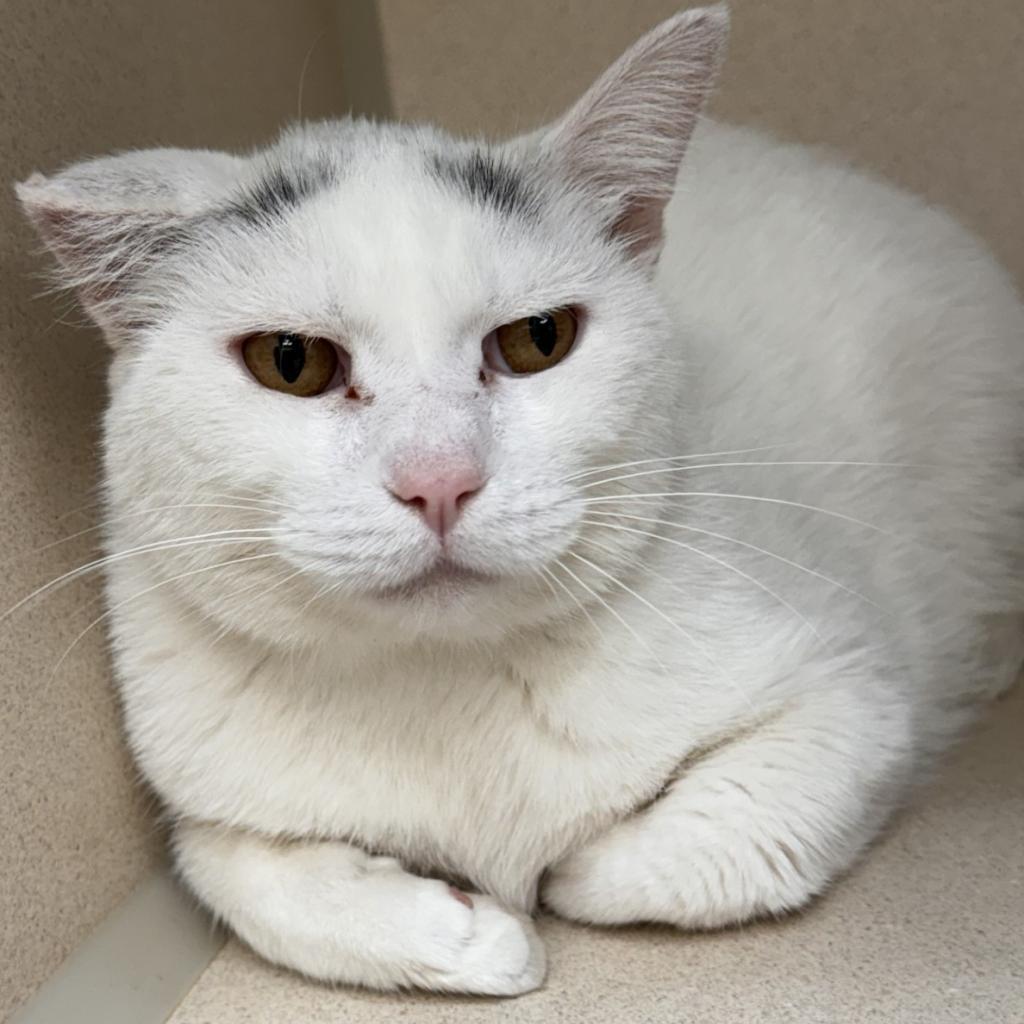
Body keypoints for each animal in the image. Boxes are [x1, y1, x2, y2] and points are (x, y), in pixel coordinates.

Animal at [16, 4, 1024, 999]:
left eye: (540, 339)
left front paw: (563, 878)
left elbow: (713, 844)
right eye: (290, 361)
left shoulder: (853, 697)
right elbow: (239, 876)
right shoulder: (201, 793)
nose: (440, 479)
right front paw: (473, 937)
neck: (450, 687)